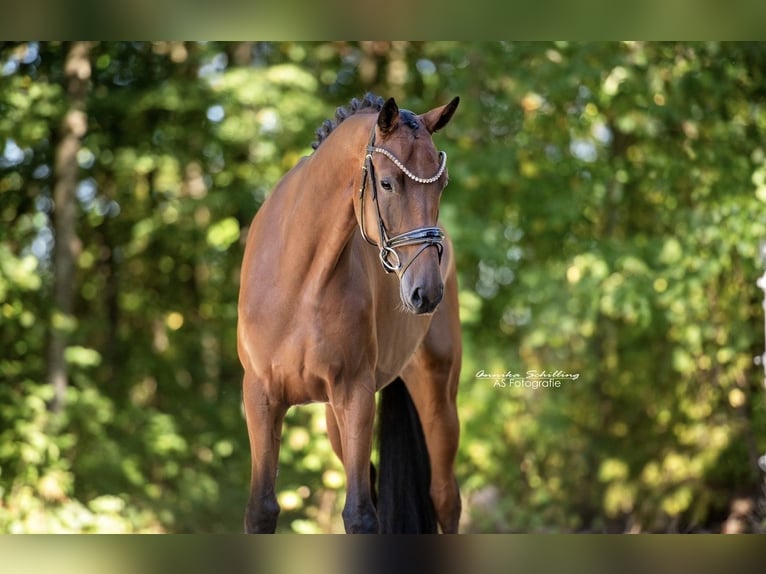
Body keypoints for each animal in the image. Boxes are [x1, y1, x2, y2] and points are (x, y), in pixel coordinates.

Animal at [237, 92, 462, 533]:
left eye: (442, 184)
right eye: (388, 182)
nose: (426, 292)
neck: (299, 280)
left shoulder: (355, 394)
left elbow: (359, 514)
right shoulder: (260, 397)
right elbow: (261, 509)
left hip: (439, 400)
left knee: (446, 498)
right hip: (332, 420)